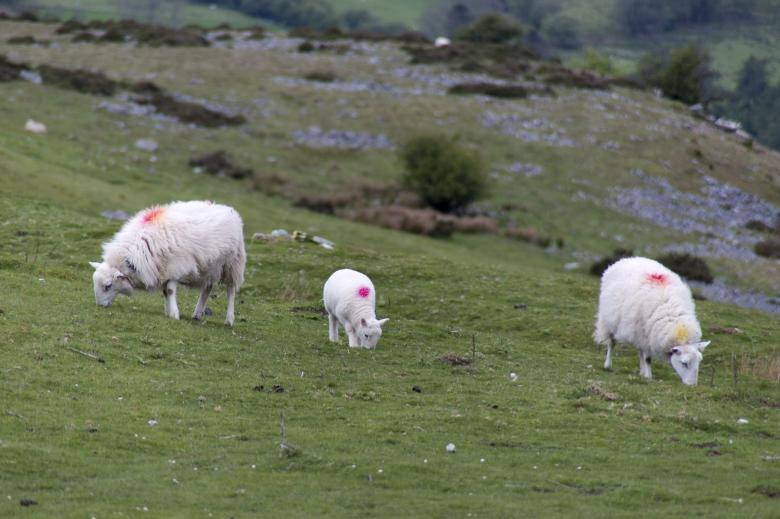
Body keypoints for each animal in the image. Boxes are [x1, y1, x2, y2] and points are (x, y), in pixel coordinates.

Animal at [90, 200, 246, 326]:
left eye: (108, 286)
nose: (99, 305)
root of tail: (229, 209)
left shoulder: (174, 267)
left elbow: (170, 290)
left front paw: (174, 314)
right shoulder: (162, 269)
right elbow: (165, 292)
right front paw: (168, 311)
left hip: (233, 264)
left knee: (231, 291)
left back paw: (229, 320)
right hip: (210, 266)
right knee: (207, 288)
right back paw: (197, 314)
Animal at [593, 256, 710, 385]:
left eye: (699, 362)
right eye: (684, 363)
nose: (692, 385)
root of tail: (628, 258)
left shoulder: (646, 334)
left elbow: (644, 355)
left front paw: (645, 374)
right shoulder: (645, 335)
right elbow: (648, 358)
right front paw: (648, 376)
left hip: (637, 330)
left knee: (639, 350)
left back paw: (641, 371)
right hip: (610, 321)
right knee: (612, 343)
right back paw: (608, 365)